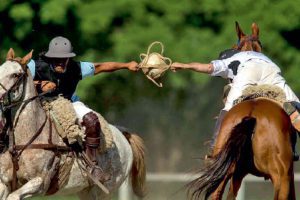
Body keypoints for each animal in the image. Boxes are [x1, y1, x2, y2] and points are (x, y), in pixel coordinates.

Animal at [0, 48, 146, 200]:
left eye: (16, 74)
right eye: (0, 69)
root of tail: (122, 134)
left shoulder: (40, 182)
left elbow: (14, 196)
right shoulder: (4, 182)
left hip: (103, 190)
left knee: (90, 119)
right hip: (86, 191)